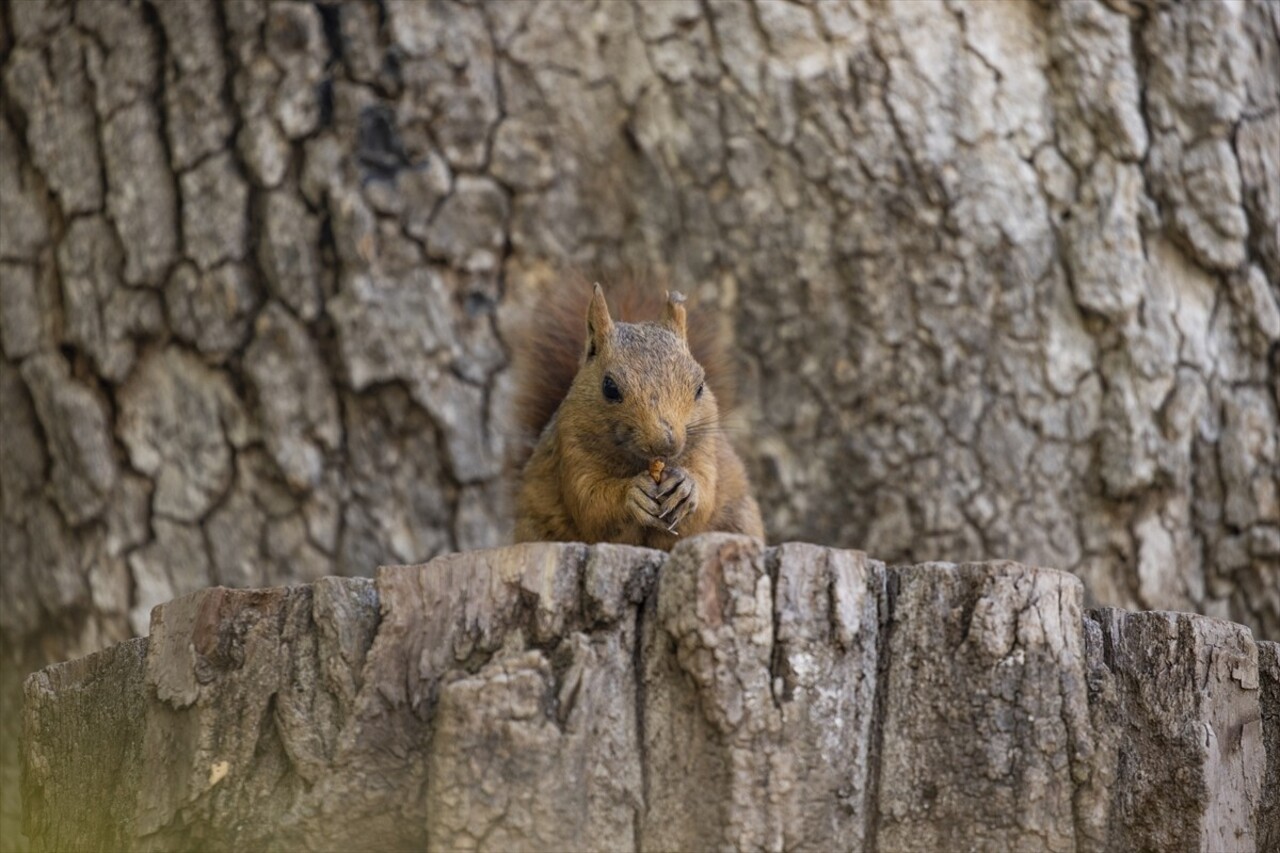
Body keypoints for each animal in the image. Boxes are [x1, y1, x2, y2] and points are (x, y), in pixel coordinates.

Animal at [506, 275, 757, 548]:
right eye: (609, 387)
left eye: (700, 386)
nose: (666, 443)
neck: (640, 463)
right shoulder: (571, 451)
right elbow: (590, 504)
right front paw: (632, 494)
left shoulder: (705, 449)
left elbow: (705, 497)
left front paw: (686, 487)